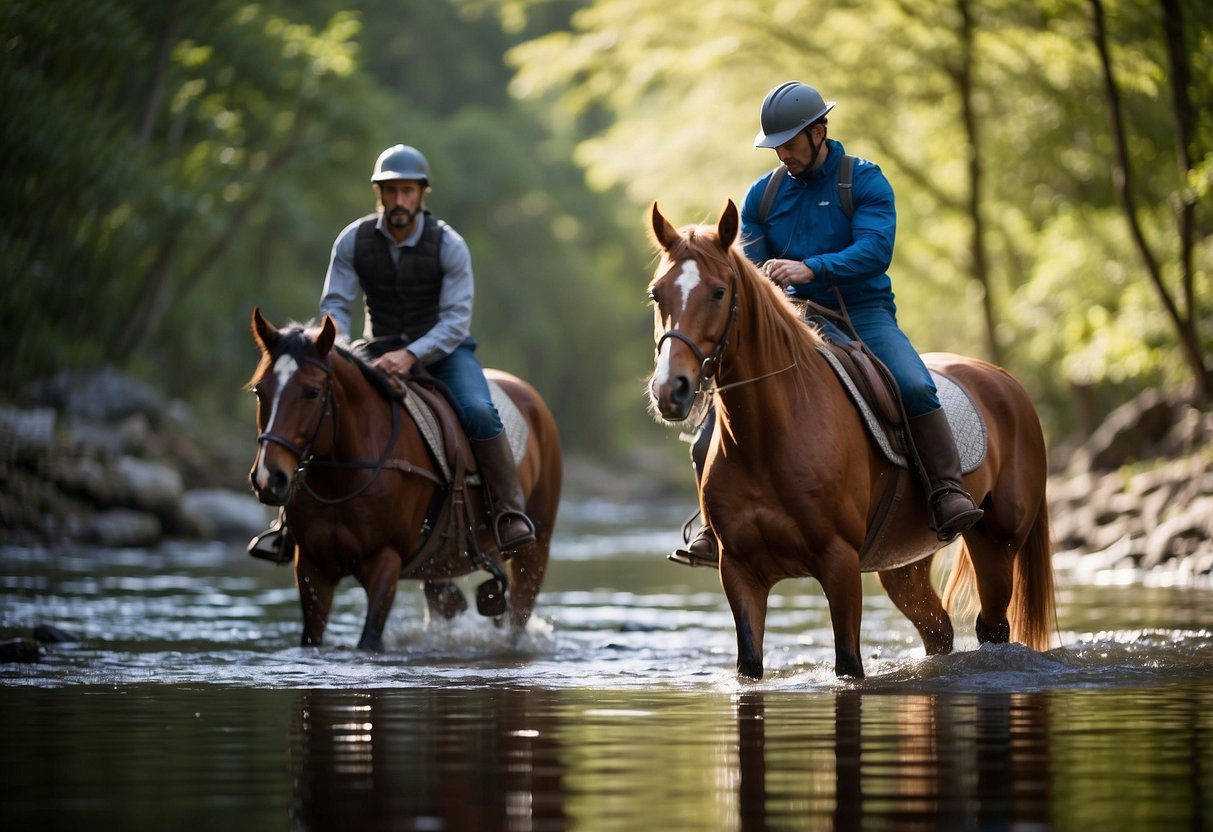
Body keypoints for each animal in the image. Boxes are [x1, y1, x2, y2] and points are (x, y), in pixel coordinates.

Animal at [253, 309, 565, 650]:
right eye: (259, 390)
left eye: (312, 392)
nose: (269, 478)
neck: (342, 478)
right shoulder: (311, 567)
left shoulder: (386, 561)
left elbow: (369, 639)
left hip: (534, 552)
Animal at [645, 200, 1052, 679]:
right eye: (657, 293)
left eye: (718, 292)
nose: (670, 390)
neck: (771, 436)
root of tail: (1004, 380)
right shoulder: (739, 572)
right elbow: (750, 665)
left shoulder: (839, 565)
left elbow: (848, 663)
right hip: (905, 567)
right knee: (939, 632)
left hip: (997, 543)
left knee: (992, 629)